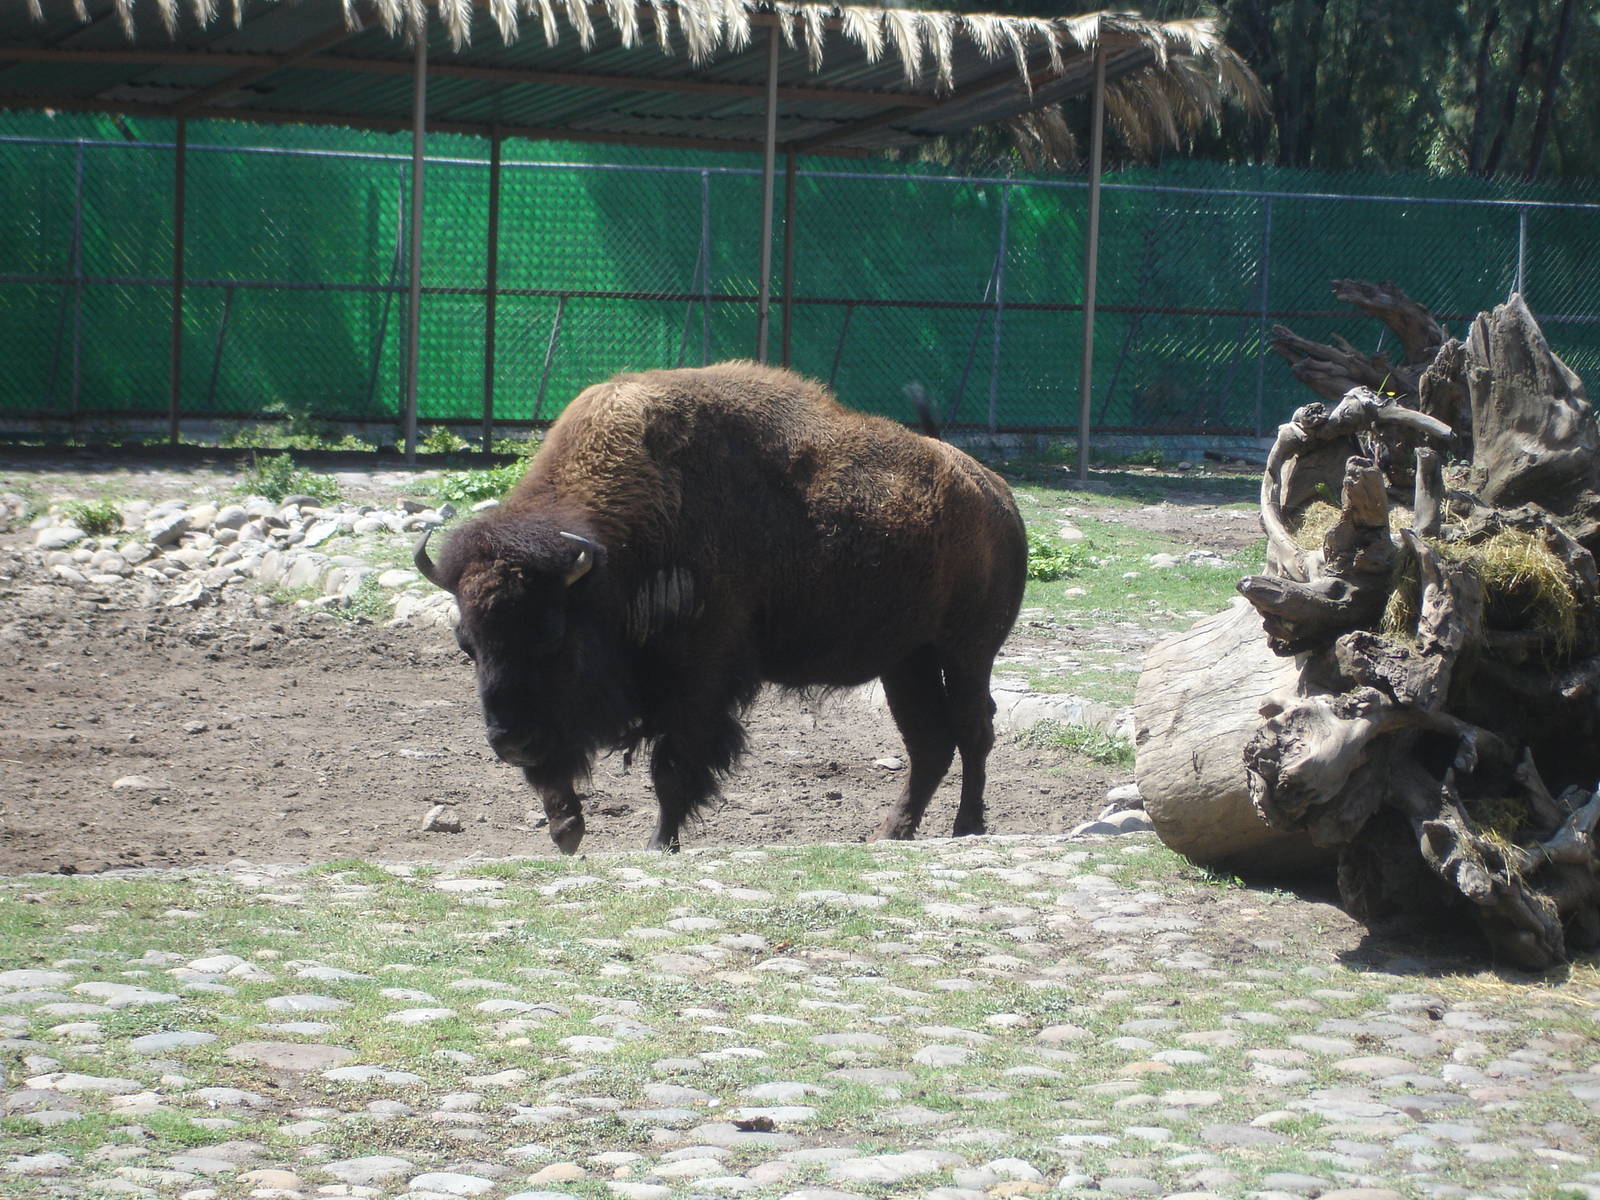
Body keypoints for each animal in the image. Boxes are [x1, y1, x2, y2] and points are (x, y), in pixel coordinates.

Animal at [415, 361, 1027, 853]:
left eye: (551, 635)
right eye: (467, 644)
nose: (507, 740)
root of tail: (996, 494)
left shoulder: (699, 680)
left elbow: (674, 767)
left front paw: (658, 844)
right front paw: (567, 830)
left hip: (967, 652)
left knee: (972, 729)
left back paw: (967, 828)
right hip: (906, 660)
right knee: (930, 743)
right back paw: (890, 833)